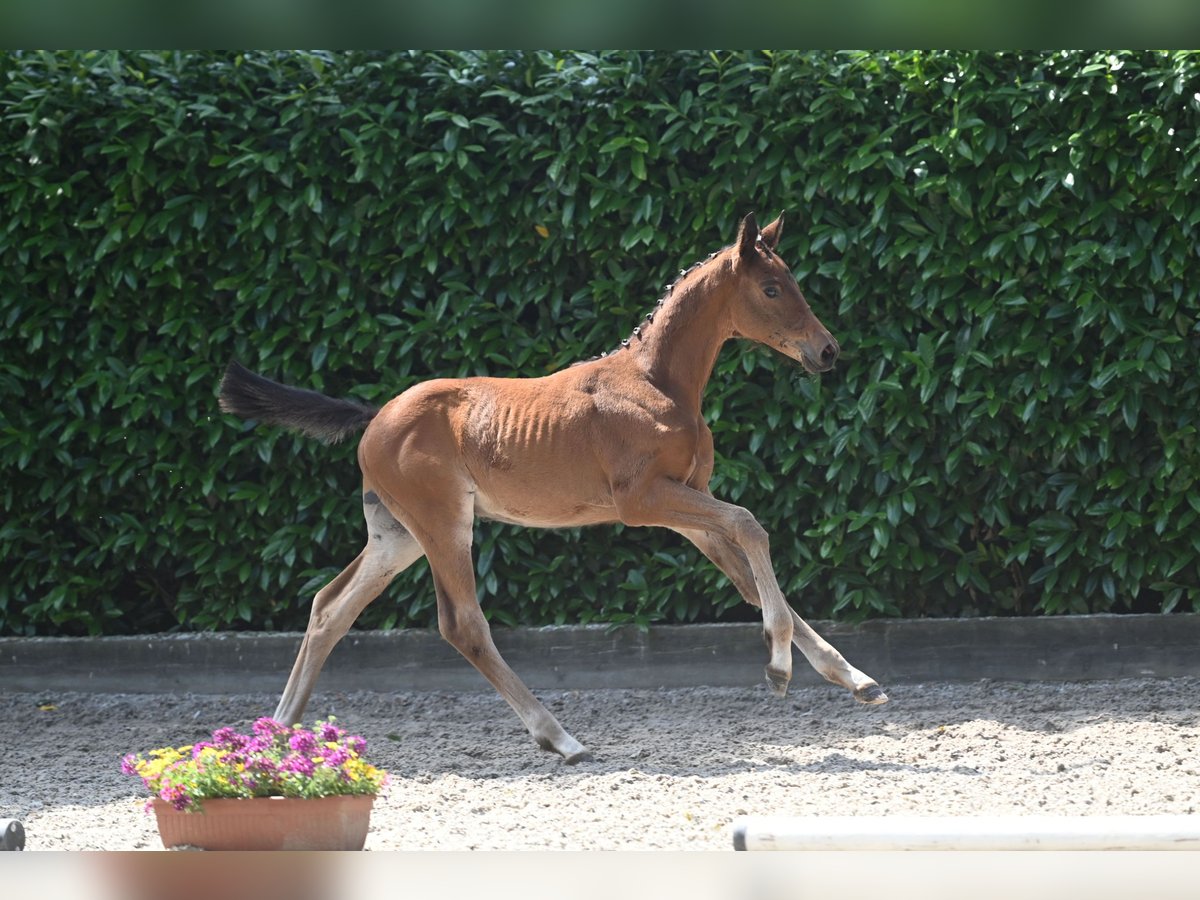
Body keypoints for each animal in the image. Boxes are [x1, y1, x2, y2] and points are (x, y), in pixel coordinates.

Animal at [220, 211, 888, 763]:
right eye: (772, 289)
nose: (827, 351)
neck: (656, 383)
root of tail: (375, 416)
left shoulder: (686, 506)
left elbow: (749, 577)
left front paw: (856, 680)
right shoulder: (644, 501)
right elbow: (751, 524)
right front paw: (778, 668)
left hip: (396, 535)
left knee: (330, 608)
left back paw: (275, 736)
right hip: (442, 524)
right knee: (461, 624)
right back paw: (561, 738)